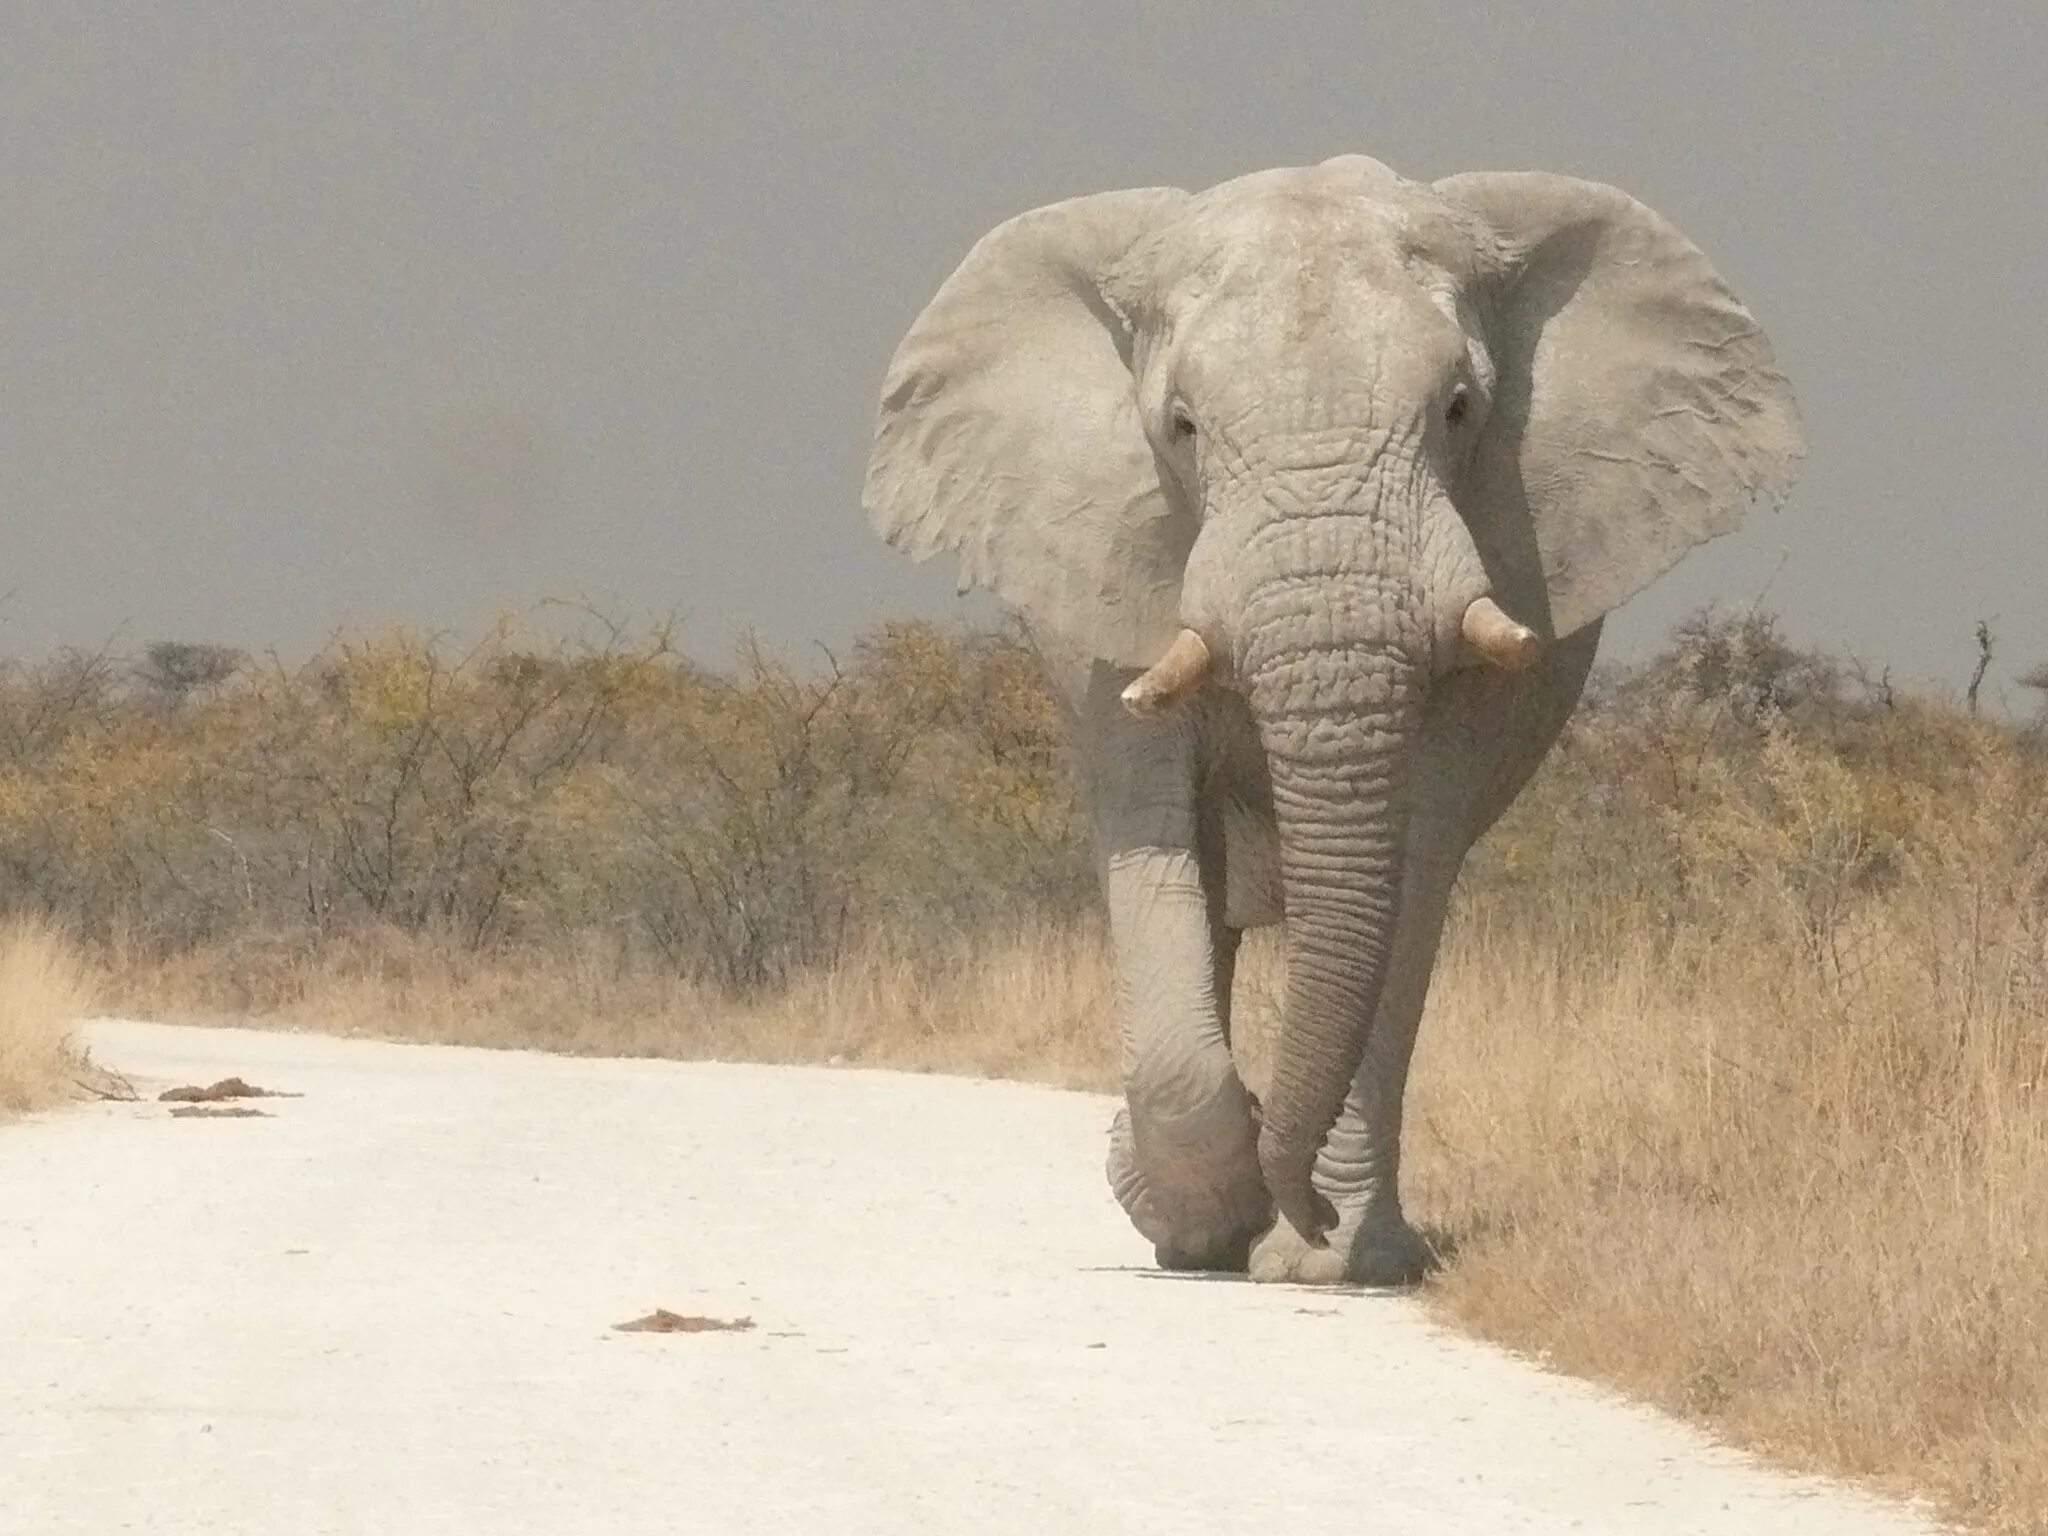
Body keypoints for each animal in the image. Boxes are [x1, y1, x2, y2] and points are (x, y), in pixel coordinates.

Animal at [864, 156, 1810, 1286]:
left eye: (1459, 410)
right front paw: (1204, 1215)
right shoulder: (1110, 595)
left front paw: (1326, 1256)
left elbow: (1406, 869)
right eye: (1180, 427)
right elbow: (1157, 839)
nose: (1302, 1208)